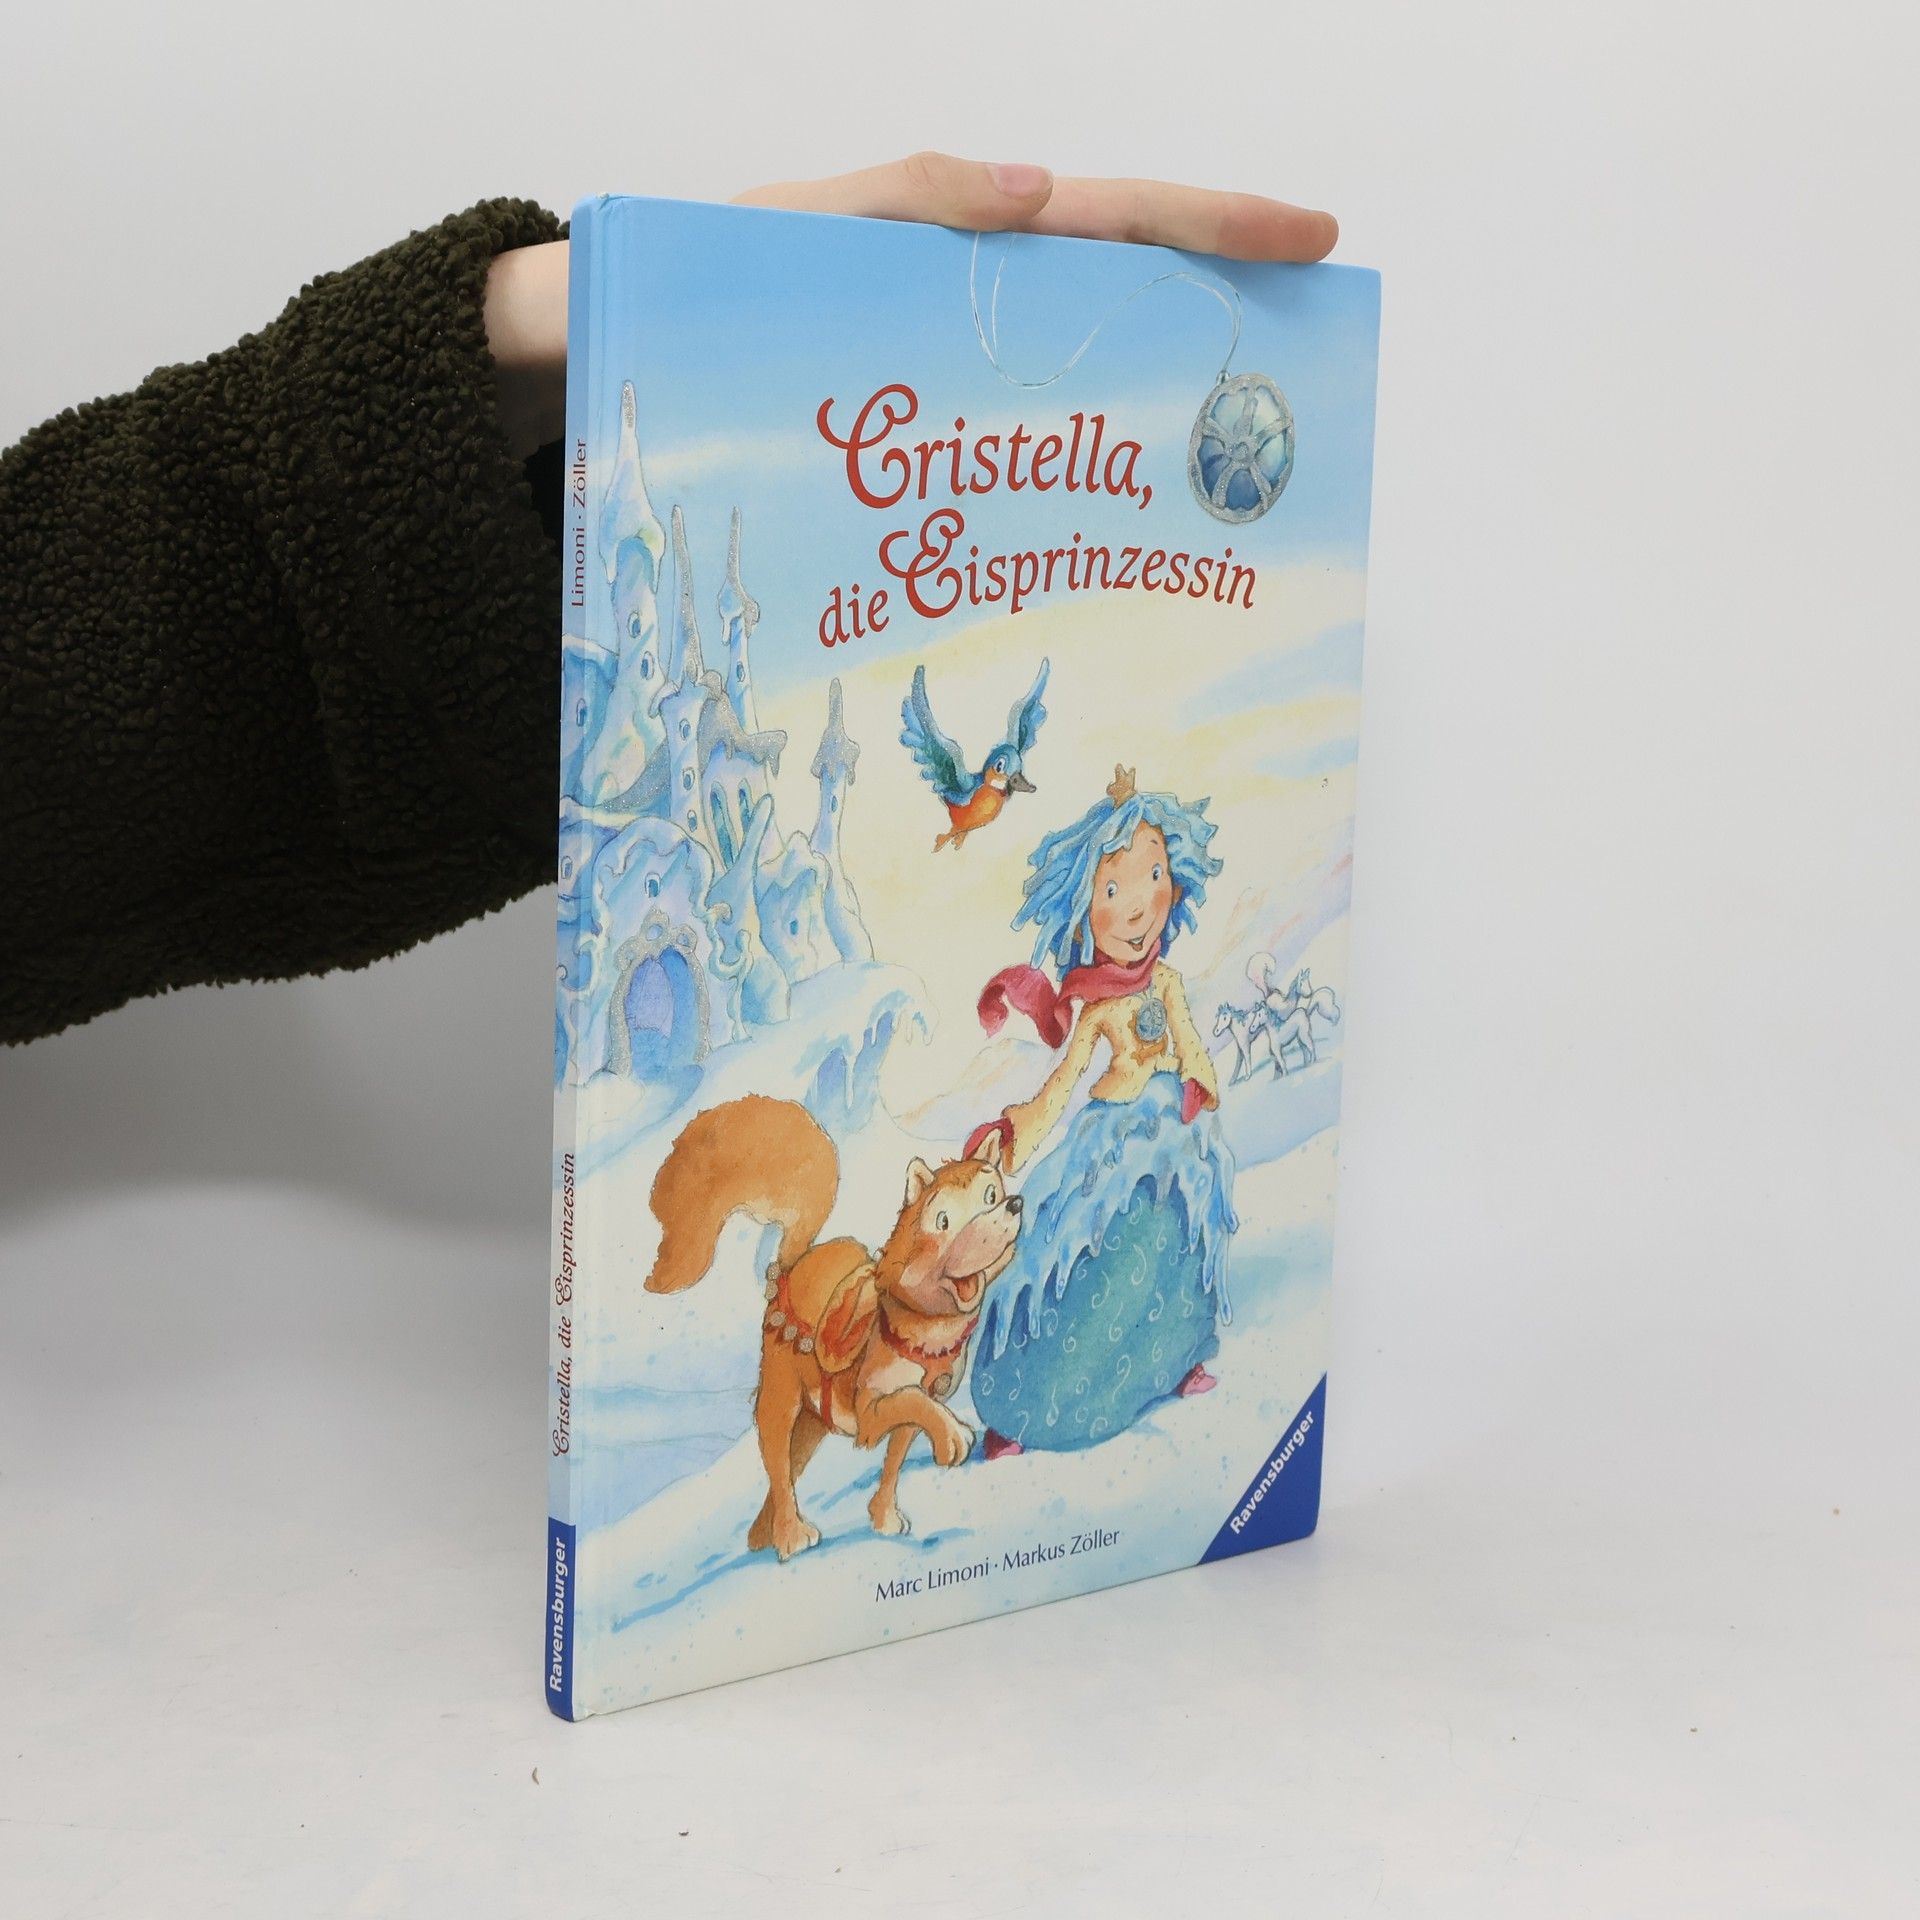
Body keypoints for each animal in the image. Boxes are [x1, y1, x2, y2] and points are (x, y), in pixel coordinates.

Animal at [644, 1094, 1022, 1559]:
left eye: (992, 1195)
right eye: (944, 1221)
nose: (1014, 1206)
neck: (917, 1324)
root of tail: (790, 1268)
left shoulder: (914, 1408)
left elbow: (897, 1456)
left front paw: (885, 1518)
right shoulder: (872, 1409)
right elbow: (912, 1403)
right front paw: (953, 1437)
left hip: (812, 1422)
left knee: (786, 1472)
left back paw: (762, 1536)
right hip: (780, 1402)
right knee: (776, 1464)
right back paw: (790, 1537)